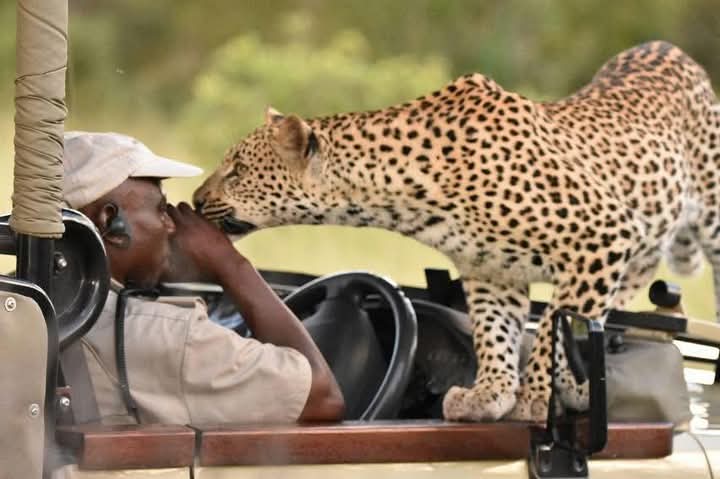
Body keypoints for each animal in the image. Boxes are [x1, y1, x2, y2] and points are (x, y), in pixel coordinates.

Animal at [193, 41, 720, 422]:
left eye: (237, 171)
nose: (196, 200)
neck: (404, 196)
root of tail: (669, 48)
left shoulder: (601, 235)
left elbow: (554, 322)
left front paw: (538, 394)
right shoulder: (493, 271)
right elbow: (495, 334)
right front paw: (492, 393)